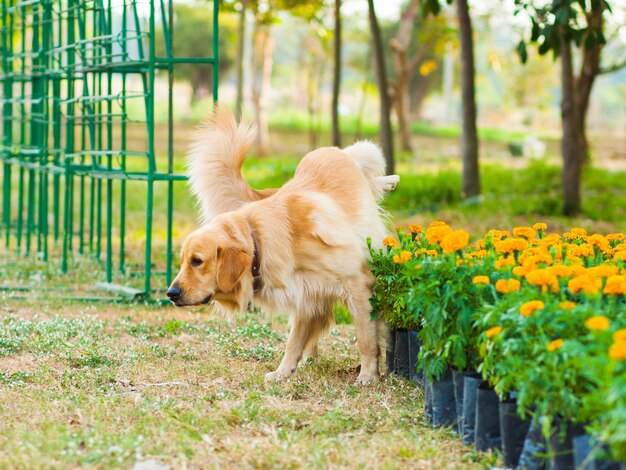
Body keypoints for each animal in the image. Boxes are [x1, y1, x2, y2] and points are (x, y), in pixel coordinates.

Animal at [167, 108, 394, 384]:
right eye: (183, 261)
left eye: (197, 261)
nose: (170, 293)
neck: (258, 239)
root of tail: (327, 151)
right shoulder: (307, 295)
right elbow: (294, 341)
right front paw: (283, 371)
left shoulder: (357, 285)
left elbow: (365, 337)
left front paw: (368, 374)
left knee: (365, 157)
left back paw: (390, 179)